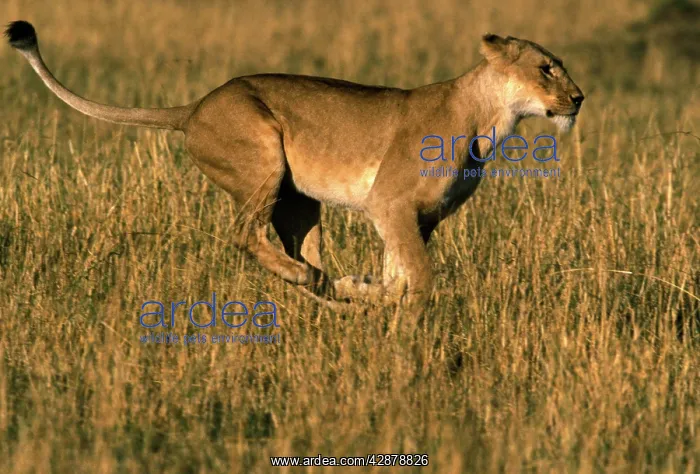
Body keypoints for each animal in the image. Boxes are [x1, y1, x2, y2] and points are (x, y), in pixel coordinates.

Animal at [5, 21, 584, 308]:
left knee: (299, 255)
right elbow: (419, 278)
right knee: (245, 235)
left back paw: (331, 288)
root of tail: (194, 107)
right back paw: (313, 279)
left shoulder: (418, 219)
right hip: (262, 157)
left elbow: (397, 273)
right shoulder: (389, 203)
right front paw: (407, 324)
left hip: (299, 202)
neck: (492, 118)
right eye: (546, 68)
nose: (579, 98)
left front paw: (370, 295)